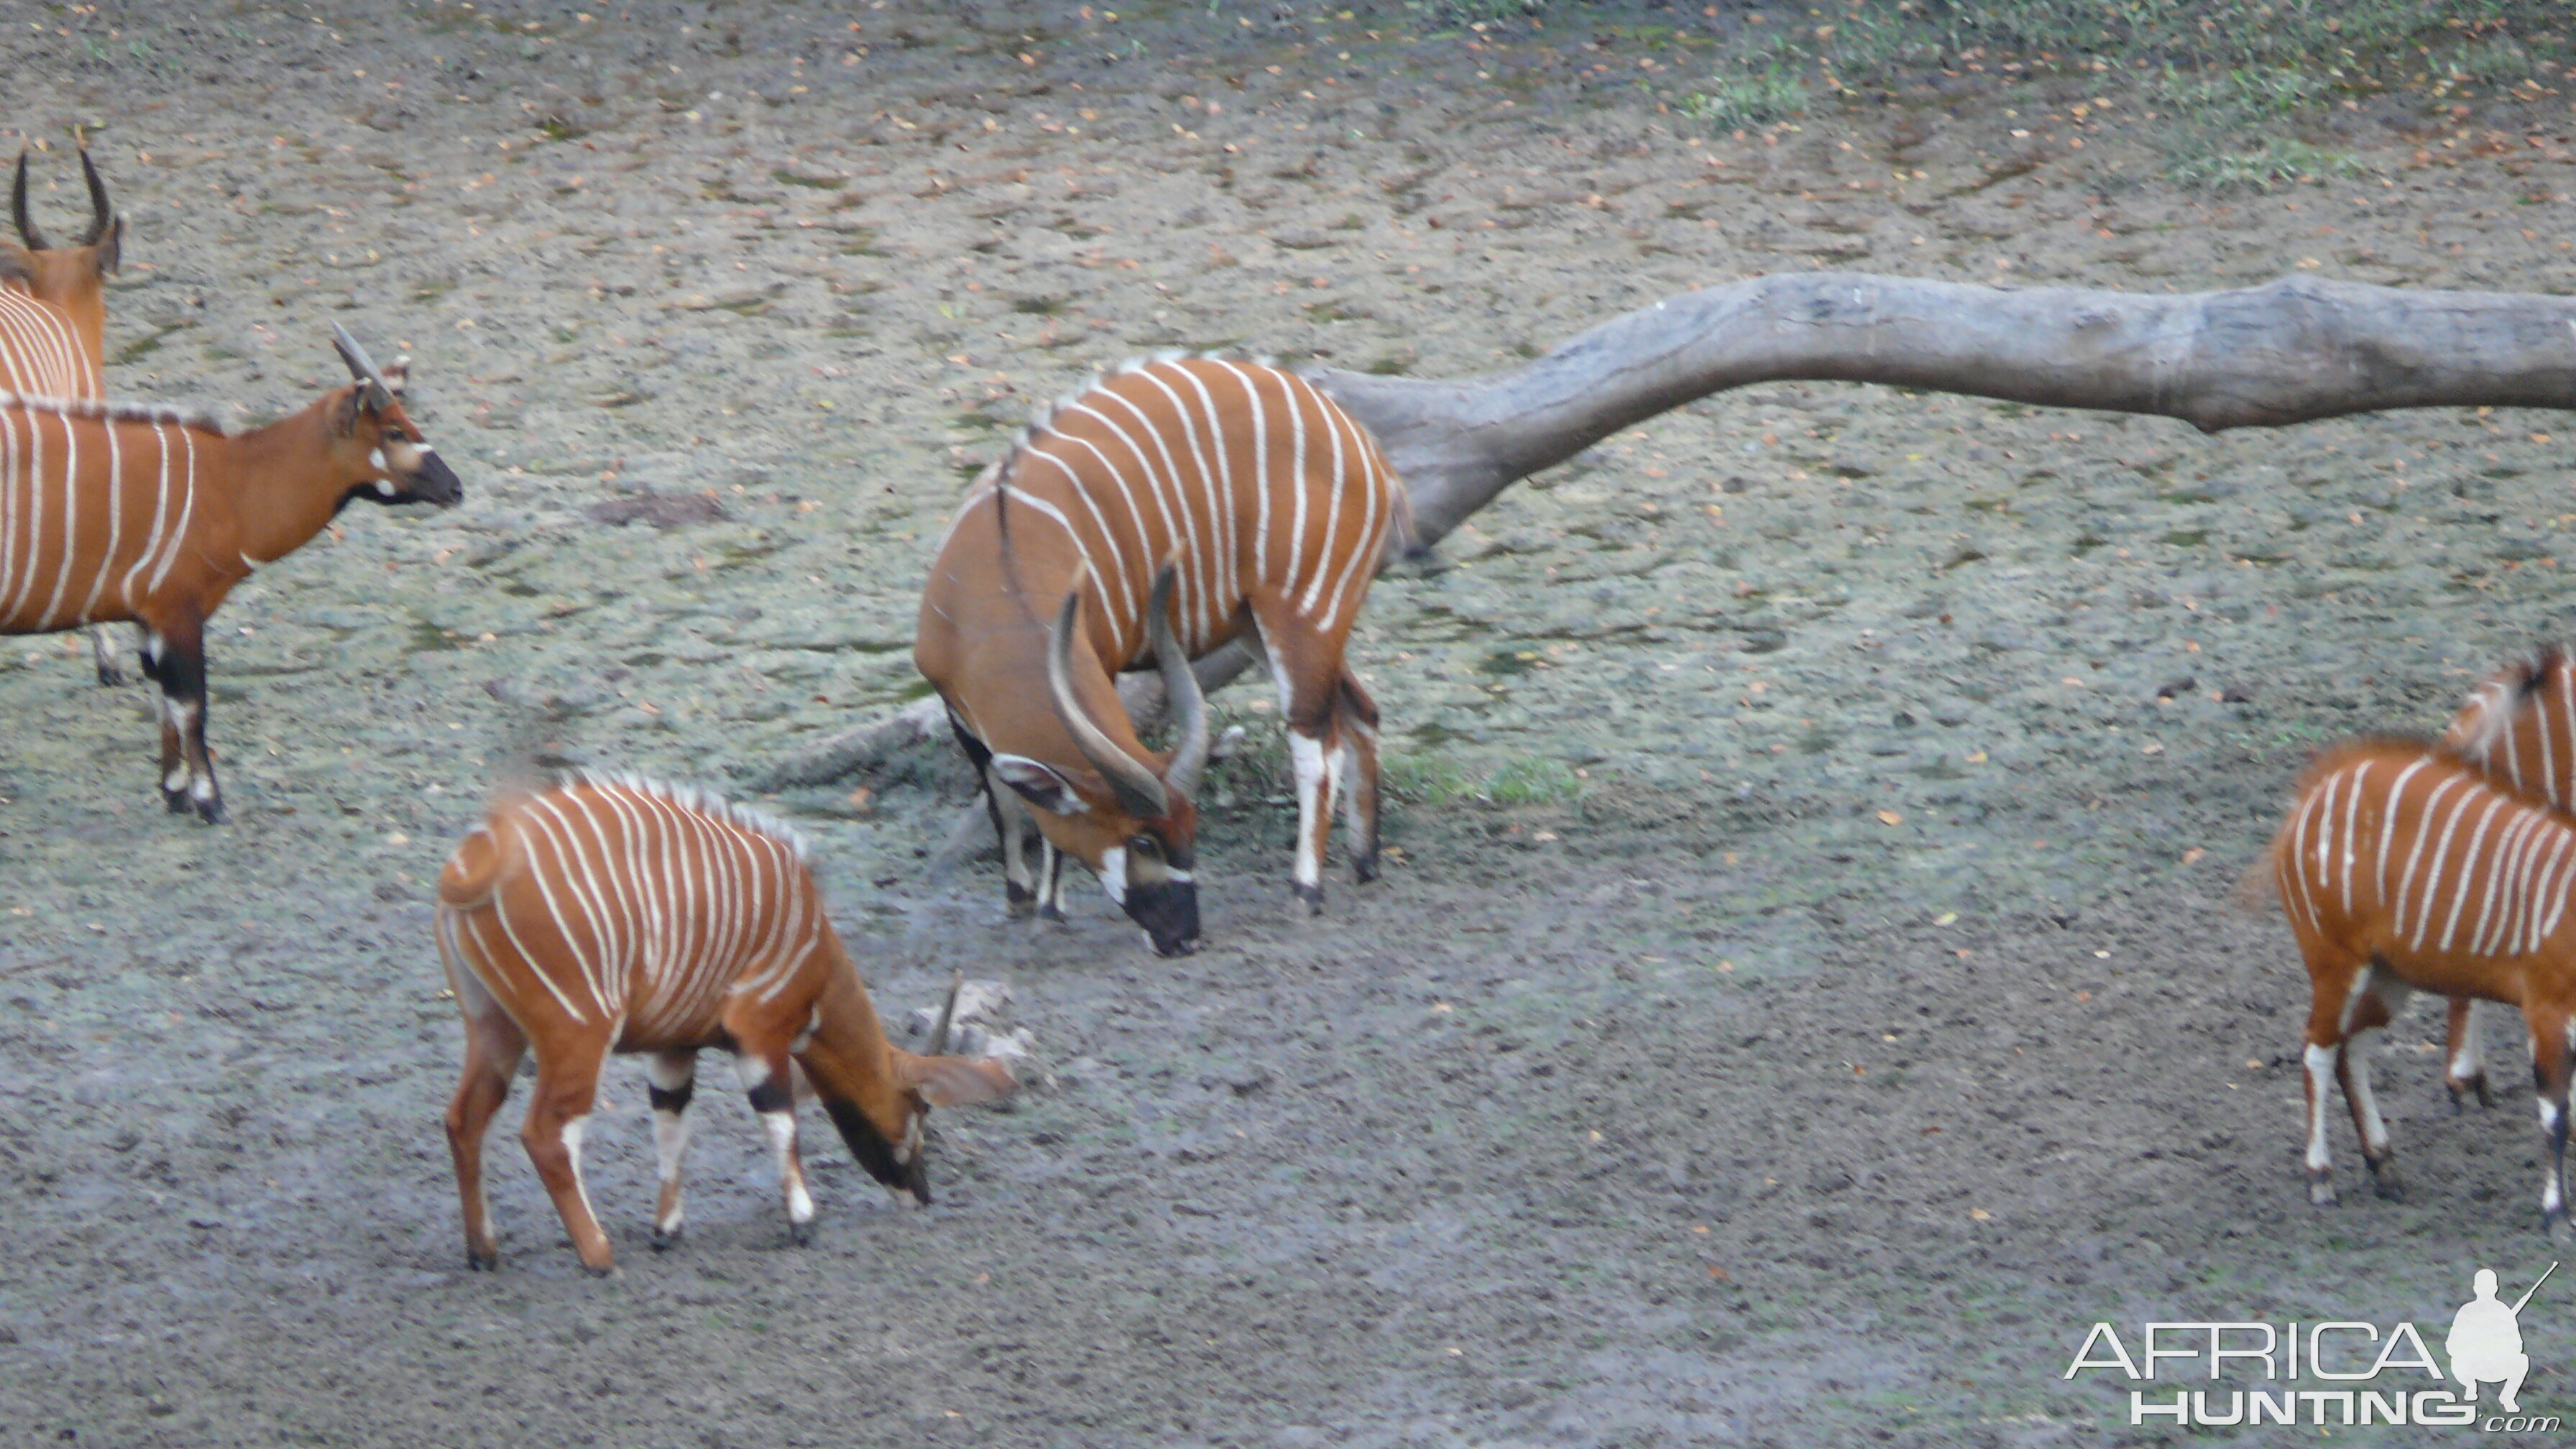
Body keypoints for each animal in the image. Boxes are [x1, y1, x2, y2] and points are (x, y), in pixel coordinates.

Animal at [0, 330, 458, 824]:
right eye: (395, 432)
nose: (456, 488)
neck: (228, 486)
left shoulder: (147, 620)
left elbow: (161, 700)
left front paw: (174, 793)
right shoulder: (177, 612)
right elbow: (191, 706)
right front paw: (210, 802)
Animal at [433, 768, 1015, 1263]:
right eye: (920, 1110)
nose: (921, 1194)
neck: (816, 952)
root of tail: (469, 869)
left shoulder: (673, 1048)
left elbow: (671, 1126)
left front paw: (667, 1230)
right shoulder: (759, 1030)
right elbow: (780, 1120)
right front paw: (803, 1221)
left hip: (494, 1028)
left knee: (464, 1119)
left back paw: (482, 1251)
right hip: (577, 1030)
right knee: (546, 1135)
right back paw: (599, 1256)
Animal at [916, 356, 1412, 954]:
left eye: (1191, 833)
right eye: (1145, 842)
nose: (1186, 937)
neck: (1001, 559)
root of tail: (1369, 452)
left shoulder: (1098, 664)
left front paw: (1049, 909)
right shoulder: (956, 708)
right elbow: (1004, 801)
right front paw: (1017, 900)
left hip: (1302, 614)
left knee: (1316, 741)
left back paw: (1306, 890)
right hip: (1258, 624)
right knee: (1362, 711)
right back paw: (1364, 863)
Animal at [2277, 737, 2576, 1222]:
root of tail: (2309, 800)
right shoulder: (2546, 1008)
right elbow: (2557, 1114)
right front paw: (2556, 1215)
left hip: (2390, 979)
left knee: (2350, 1051)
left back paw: (2385, 1168)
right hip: (2335, 966)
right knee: (2317, 1053)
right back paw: (2320, 1179)